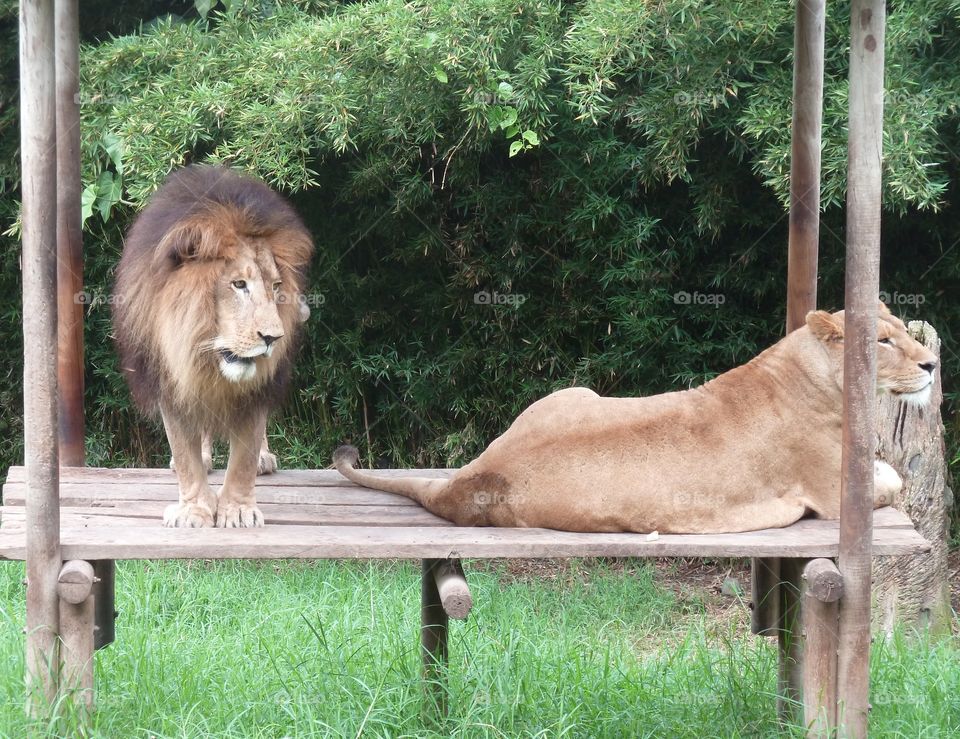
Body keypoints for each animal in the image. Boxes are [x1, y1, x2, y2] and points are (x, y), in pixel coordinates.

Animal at [113, 164, 314, 528]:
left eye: (276, 286)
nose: (273, 338)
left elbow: (245, 455)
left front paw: (239, 511)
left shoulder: (256, 392)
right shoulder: (170, 381)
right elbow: (184, 452)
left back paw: (264, 459)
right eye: (239, 284)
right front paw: (193, 510)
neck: (200, 346)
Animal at [335, 305, 937, 534]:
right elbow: (894, 479)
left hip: (570, 392)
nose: (933, 363)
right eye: (882, 341)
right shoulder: (836, 496)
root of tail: (465, 478)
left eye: (903, 329)